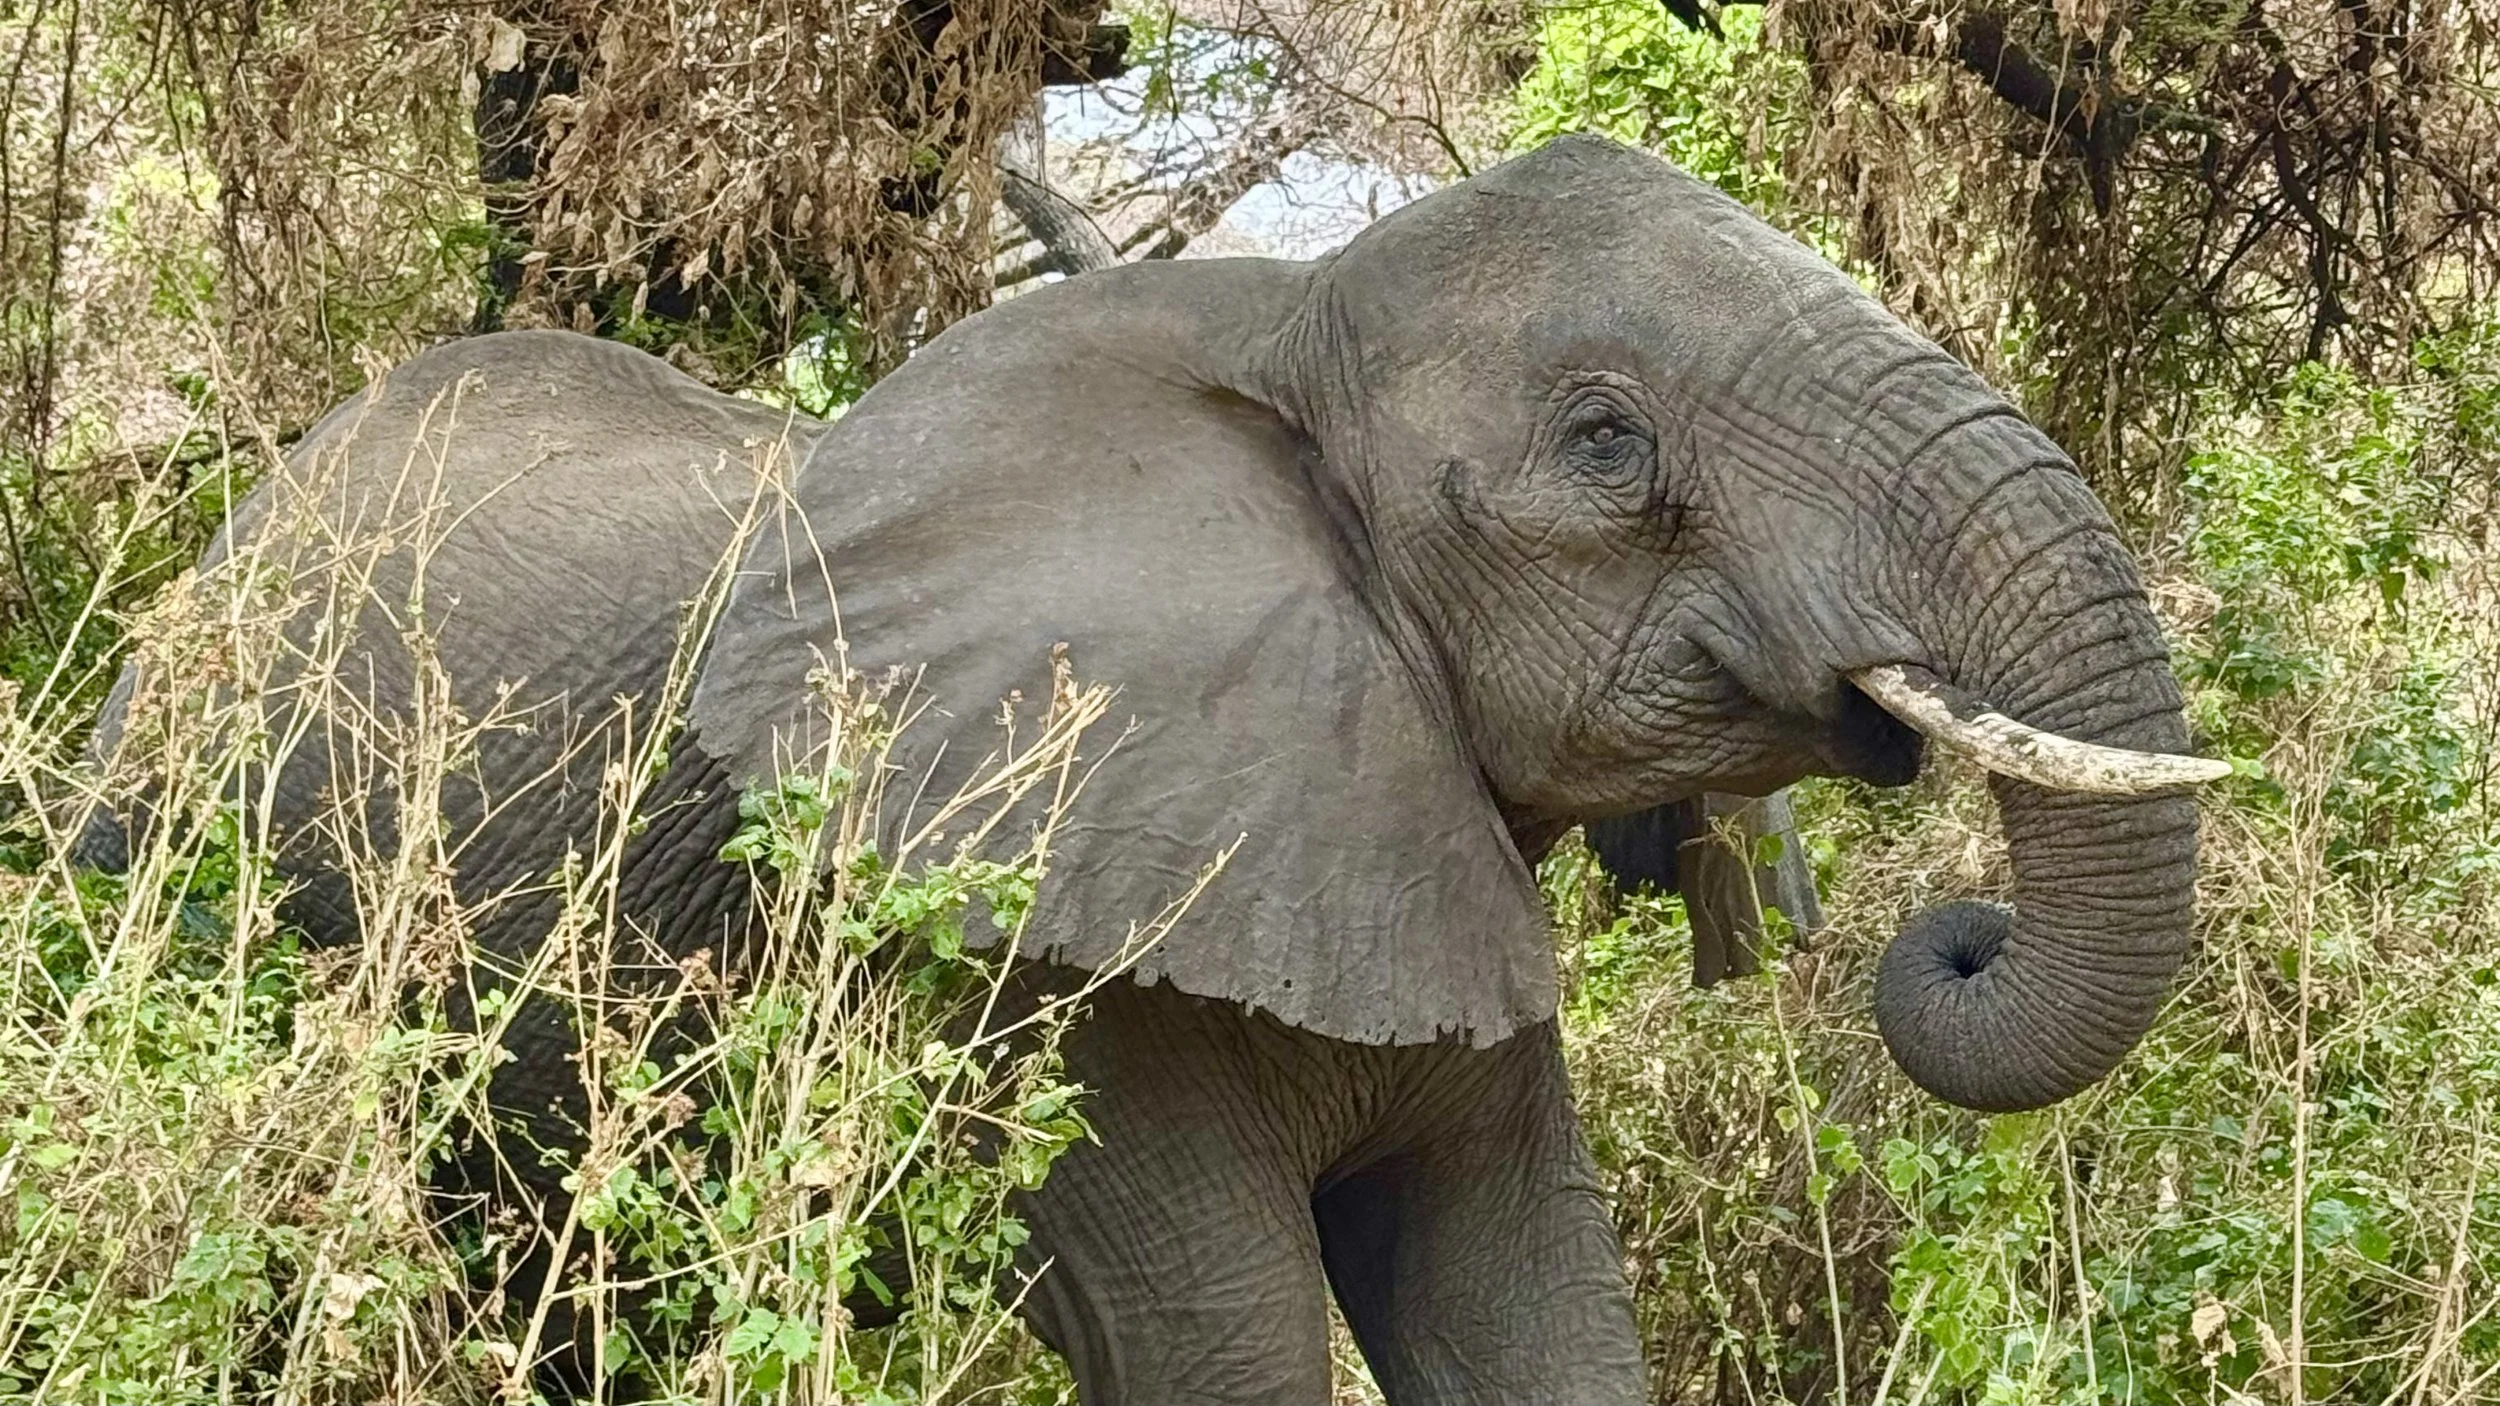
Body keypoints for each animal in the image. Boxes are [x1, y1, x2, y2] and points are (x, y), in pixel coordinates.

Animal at [80, 134, 2226, 1403]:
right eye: (1608, 442)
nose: (1952, 938)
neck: (1293, 319)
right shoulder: (1030, 949)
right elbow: (1226, 1330)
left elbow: (1524, 1295)